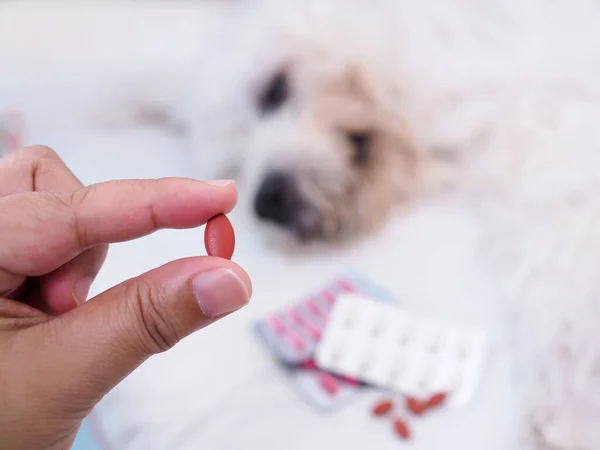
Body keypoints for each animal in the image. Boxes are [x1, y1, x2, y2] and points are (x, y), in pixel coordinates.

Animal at [1, 0, 600, 446]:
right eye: (234, 166)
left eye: (274, 90)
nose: (269, 200)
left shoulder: (550, 142)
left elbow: (564, 288)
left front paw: (564, 412)